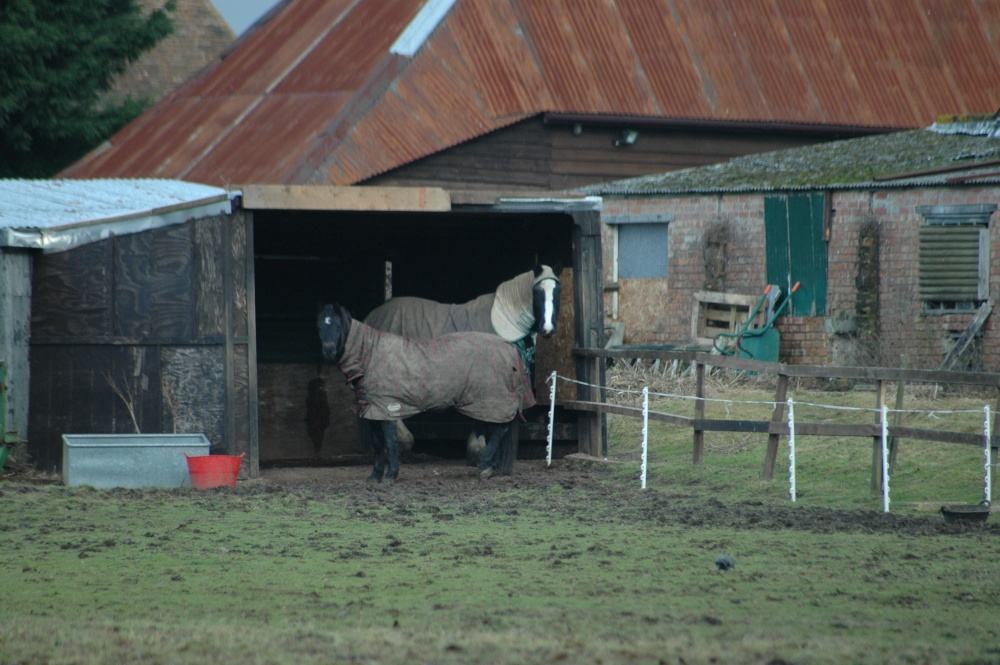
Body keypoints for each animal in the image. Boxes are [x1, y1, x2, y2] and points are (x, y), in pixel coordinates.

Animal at [320, 302, 540, 482]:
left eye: (338, 326)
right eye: (320, 326)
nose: (328, 351)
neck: (372, 353)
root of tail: (508, 348)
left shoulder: (387, 407)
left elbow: (390, 441)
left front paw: (391, 476)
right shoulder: (373, 410)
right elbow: (378, 443)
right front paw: (375, 476)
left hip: (490, 401)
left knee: (498, 432)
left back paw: (485, 466)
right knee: (497, 432)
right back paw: (490, 466)